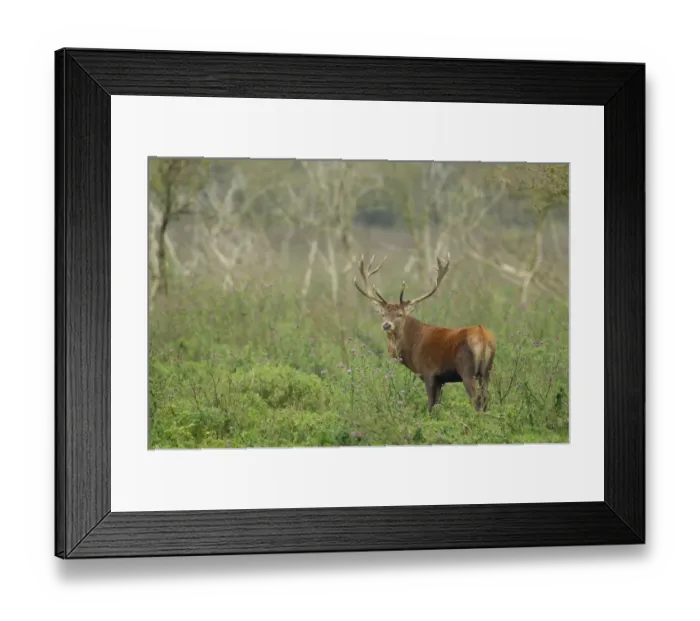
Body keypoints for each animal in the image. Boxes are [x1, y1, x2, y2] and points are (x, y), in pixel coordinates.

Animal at [353, 254, 496, 413]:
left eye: (400, 314)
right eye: (383, 314)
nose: (386, 325)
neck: (412, 347)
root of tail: (482, 335)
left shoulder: (429, 372)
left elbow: (431, 406)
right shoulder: (441, 379)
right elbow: (438, 404)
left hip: (467, 370)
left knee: (476, 400)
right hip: (486, 371)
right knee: (485, 399)